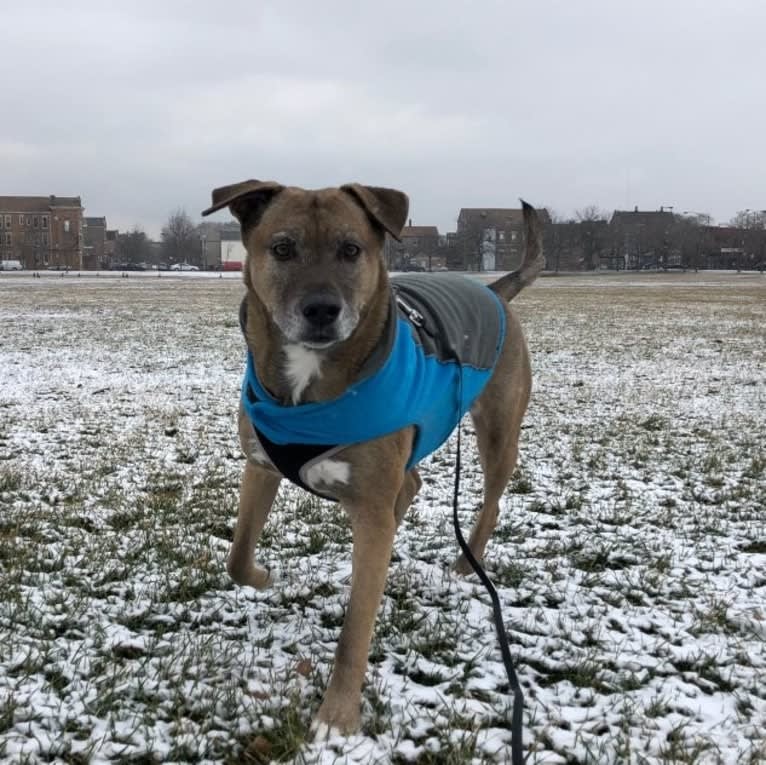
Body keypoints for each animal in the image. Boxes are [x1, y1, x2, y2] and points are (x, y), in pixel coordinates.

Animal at [201, 182, 544, 736]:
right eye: (282, 248)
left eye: (351, 249)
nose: (322, 309)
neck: (311, 386)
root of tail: (493, 290)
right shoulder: (260, 464)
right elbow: (237, 557)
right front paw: (266, 578)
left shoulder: (371, 499)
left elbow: (356, 629)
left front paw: (336, 717)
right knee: (411, 486)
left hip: (498, 428)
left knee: (488, 501)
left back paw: (464, 563)